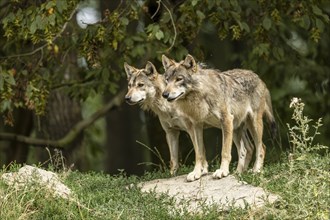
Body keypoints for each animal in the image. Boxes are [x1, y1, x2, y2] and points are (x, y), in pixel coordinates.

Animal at [124, 60, 255, 180]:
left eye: (140, 85)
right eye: (129, 86)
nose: (127, 98)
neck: (167, 107)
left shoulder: (191, 129)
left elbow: (199, 150)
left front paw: (202, 171)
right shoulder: (171, 132)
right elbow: (173, 159)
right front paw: (172, 175)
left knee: (246, 148)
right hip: (236, 130)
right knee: (248, 148)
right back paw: (241, 172)